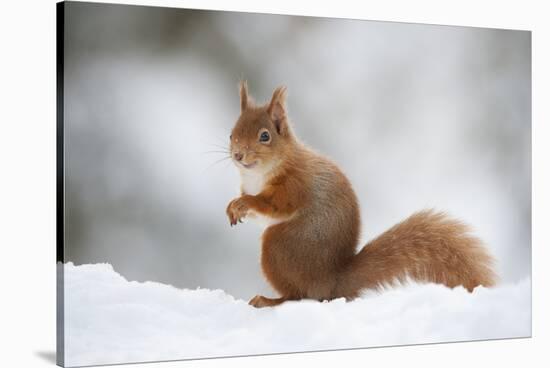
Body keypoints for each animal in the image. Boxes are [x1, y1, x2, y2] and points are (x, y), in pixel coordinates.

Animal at [226, 80, 498, 308]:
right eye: (231, 134)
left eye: (265, 136)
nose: (238, 155)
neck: (259, 174)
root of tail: (331, 282)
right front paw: (233, 207)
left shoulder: (295, 185)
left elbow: (275, 205)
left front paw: (245, 202)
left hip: (279, 246)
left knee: (299, 295)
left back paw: (270, 300)